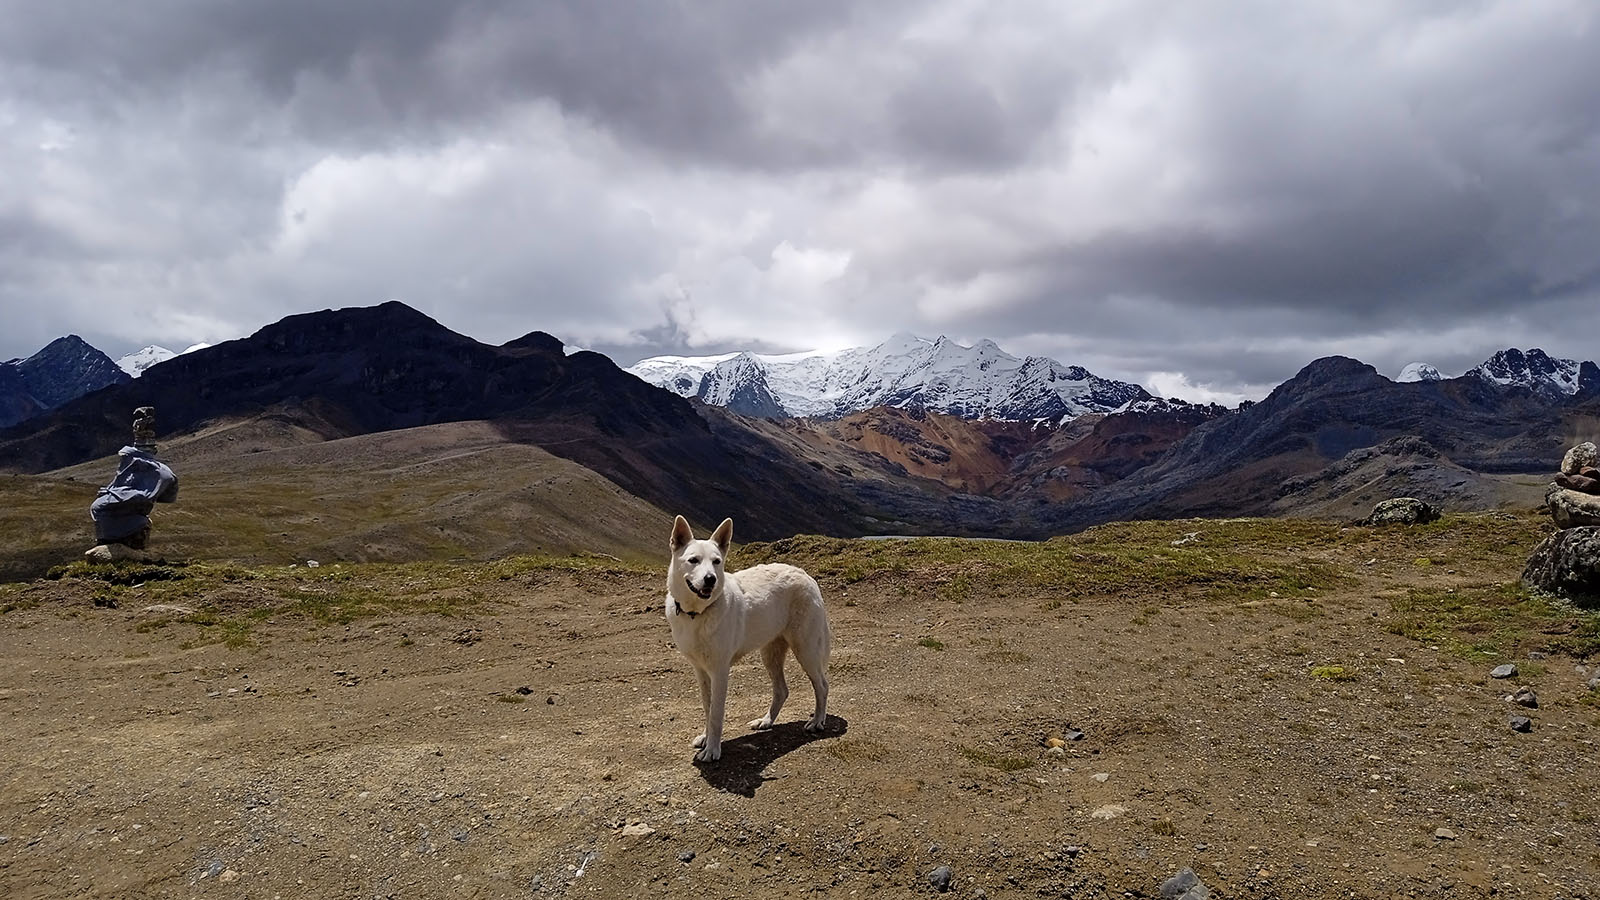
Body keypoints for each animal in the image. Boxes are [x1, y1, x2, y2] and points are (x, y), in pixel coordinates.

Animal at [665, 512, 832, 755]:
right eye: (693, 560)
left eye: (716, 562)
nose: (711, 579)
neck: (698, 613)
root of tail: (805, 575)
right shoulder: (701, 671)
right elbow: (707, 708)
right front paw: (706, 738)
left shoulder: (720, 671)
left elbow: (716, 714)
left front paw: (712, 750)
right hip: (770, 655)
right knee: (782, 690)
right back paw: (766, 721)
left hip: (806, 651)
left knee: (822, 685)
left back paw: (817, 721)